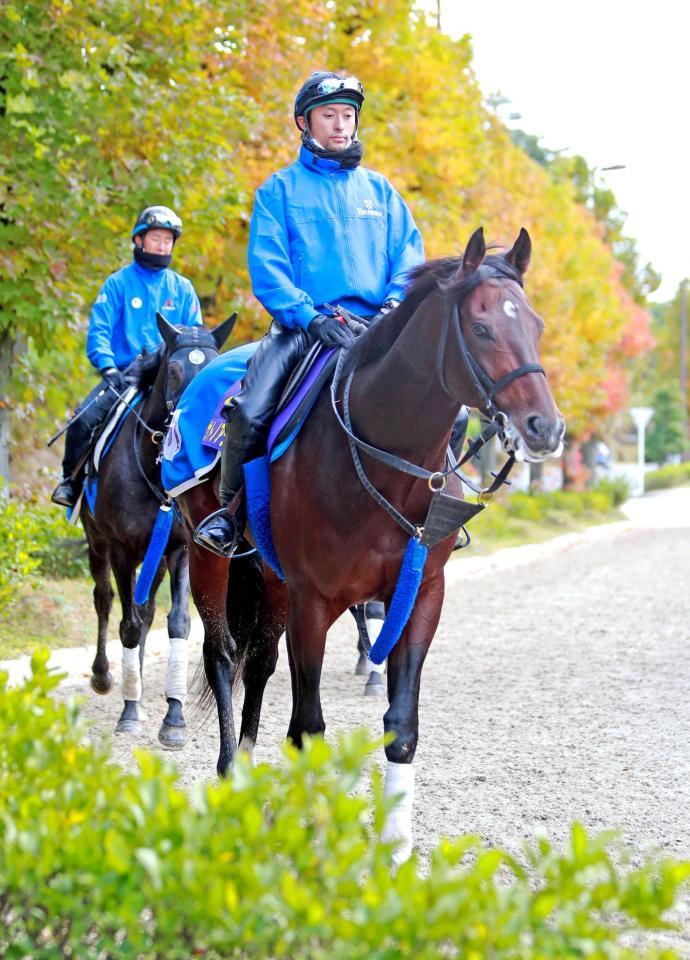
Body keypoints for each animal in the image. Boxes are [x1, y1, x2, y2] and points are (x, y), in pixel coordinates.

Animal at [80, 312, 234, 748]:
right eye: (175, 369)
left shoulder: (179, 550)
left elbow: (176, 622)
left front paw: (174, 716)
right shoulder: (121, 550)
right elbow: (128, 624)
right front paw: (130, 712)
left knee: (146, 611)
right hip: (97, 545)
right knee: (105, 601)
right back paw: (104, 675)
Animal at [180, 229, 560, 860]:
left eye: (536, 324)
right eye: (481, 328)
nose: (544, 428)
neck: (384, 460)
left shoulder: (421, 595)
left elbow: (400, 725)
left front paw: (394, 852)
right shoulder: (313, 602)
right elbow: (309, 726)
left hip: (273, 581)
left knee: (258, 663)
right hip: (206, 556)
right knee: (223, 656)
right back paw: (232, 778)